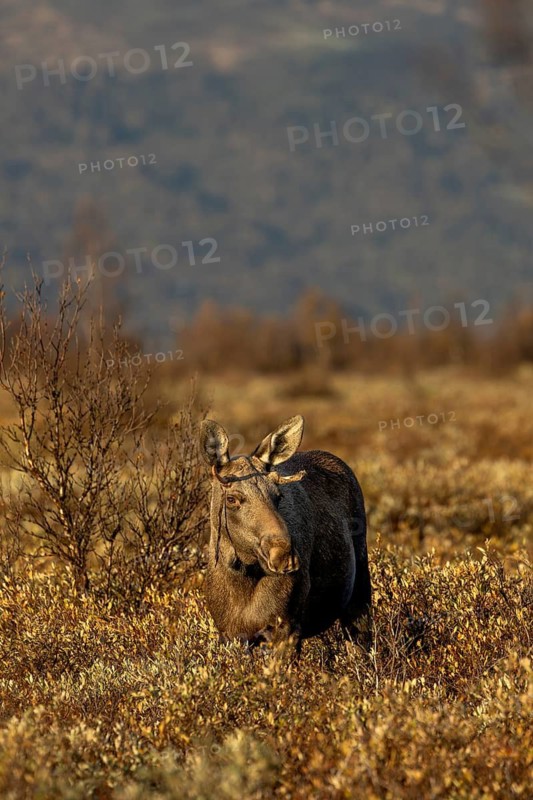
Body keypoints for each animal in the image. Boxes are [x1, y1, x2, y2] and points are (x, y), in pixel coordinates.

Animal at [199, 414, 371, 652]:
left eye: (278, 495)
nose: (283, 556)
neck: (241, 575)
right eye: (231, 498)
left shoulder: (286, 630)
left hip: (359, 597)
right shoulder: (230, 634)